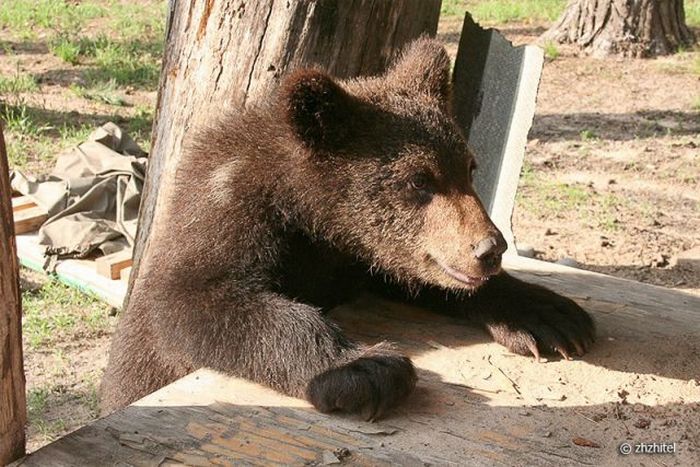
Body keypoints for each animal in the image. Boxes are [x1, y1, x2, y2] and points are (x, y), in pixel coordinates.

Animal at [102, 37, 596, 420]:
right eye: (419, 180)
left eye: (469, 168)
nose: (489, 249)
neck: (315, 216)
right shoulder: (228, 209)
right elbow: (190, 299)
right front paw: (367, 368)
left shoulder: (360, 254)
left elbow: (413, 276)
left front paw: (549, 315)